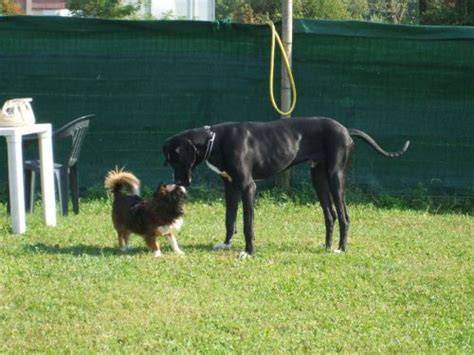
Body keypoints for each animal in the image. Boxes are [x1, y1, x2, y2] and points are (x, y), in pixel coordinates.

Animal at [163, 117, 408, 258]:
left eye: (176, 159)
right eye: (170, 160)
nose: (179, 183)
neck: (215, 139)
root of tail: (346, 129)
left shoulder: (248, 186)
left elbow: (247, 223)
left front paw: (248, 252)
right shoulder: (230, 186)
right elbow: (229, 219)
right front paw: (225, 244)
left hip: (335, 177)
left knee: (343, 215)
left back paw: (341, 248)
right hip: (318, 178)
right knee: (330, 214)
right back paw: (326, 246)